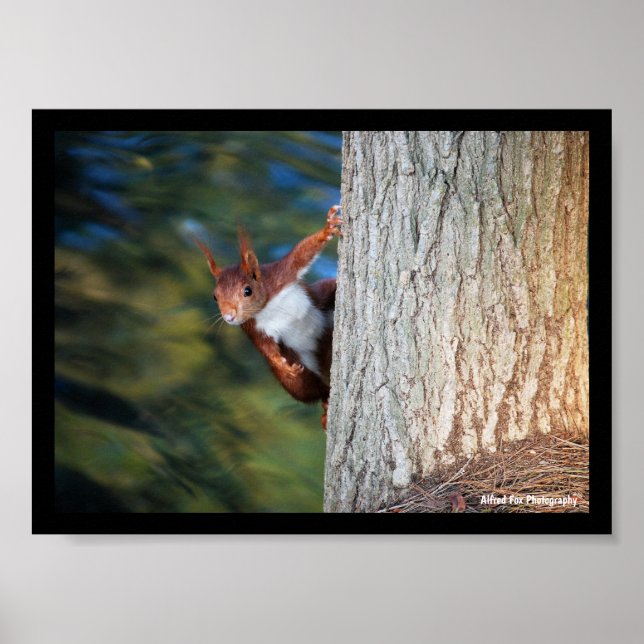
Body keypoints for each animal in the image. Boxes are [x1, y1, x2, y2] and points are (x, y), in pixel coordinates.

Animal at [195, 205, 343, 429]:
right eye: (215, 296)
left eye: (247, 291)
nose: (229, 317)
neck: (266, 307)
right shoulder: (254, 328)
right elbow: (266, 348)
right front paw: (282, 364)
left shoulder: (282, 274)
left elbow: (302, 253)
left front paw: (328, 229)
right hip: (299, 379)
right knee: (316, 392)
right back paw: (325, 406)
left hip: (322, 297)